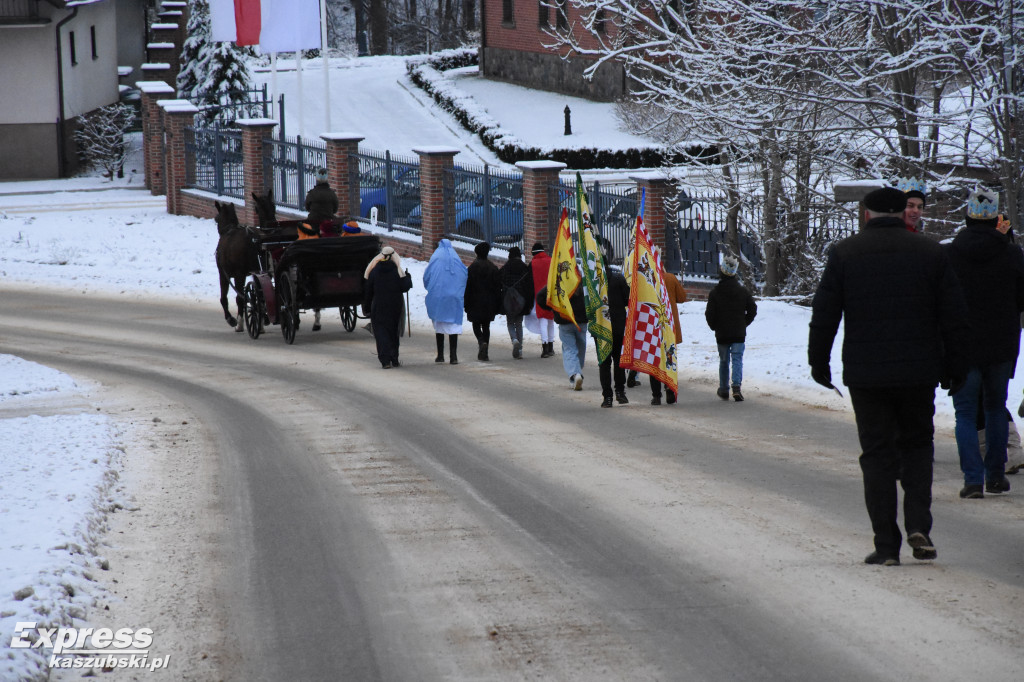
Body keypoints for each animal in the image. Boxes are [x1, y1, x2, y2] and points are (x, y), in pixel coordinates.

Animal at [211, 200, 258, 329]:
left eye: (216, 218)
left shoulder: (223, 274)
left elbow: (224, 298)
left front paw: (231, 319)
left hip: (239, 275)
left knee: (240, 298)